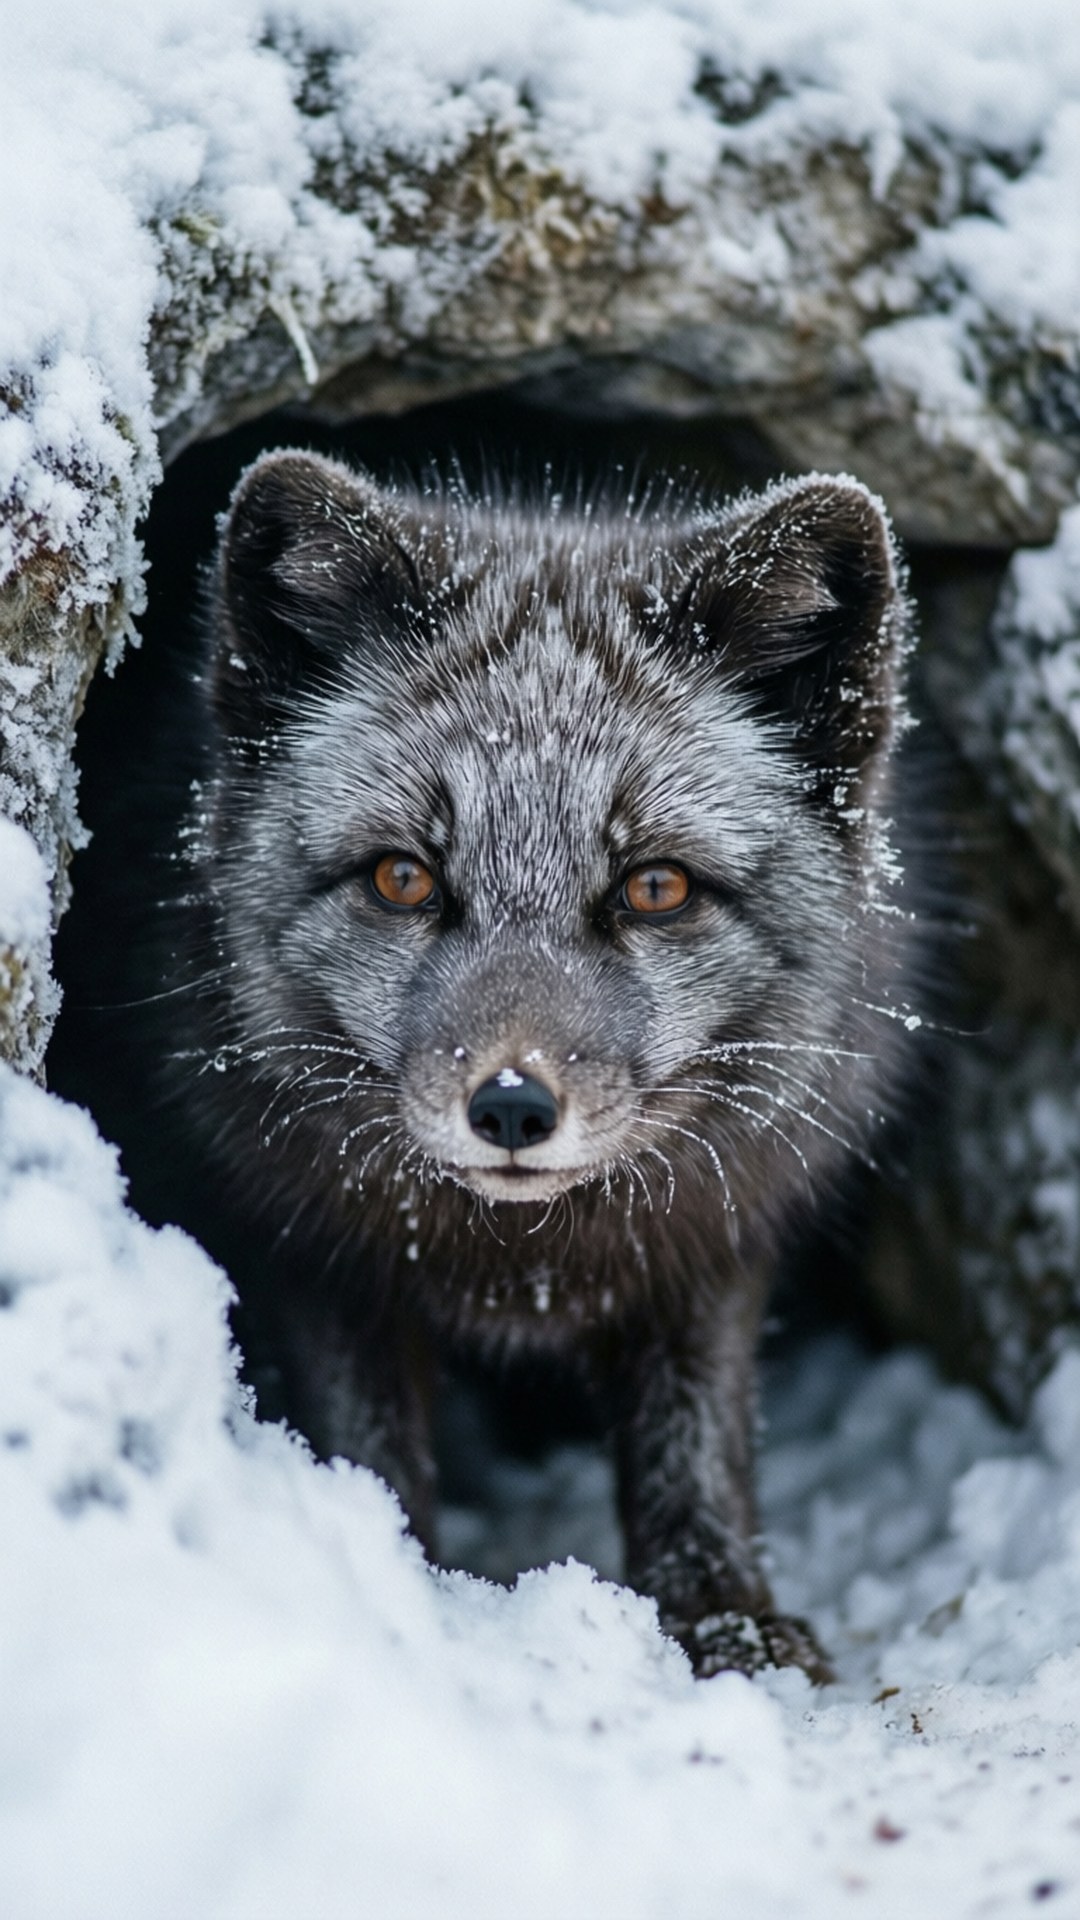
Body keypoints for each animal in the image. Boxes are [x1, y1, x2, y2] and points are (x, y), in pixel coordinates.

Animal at [167, 449, 913, 1681]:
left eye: (655, 888)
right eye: (403, 879)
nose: (512, 1106)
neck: (526, 1261)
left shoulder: (715, 1240)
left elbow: (695, 1440)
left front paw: (727, 1620)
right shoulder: (312, 1248)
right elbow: (366, 1440)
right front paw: (390, 1578)